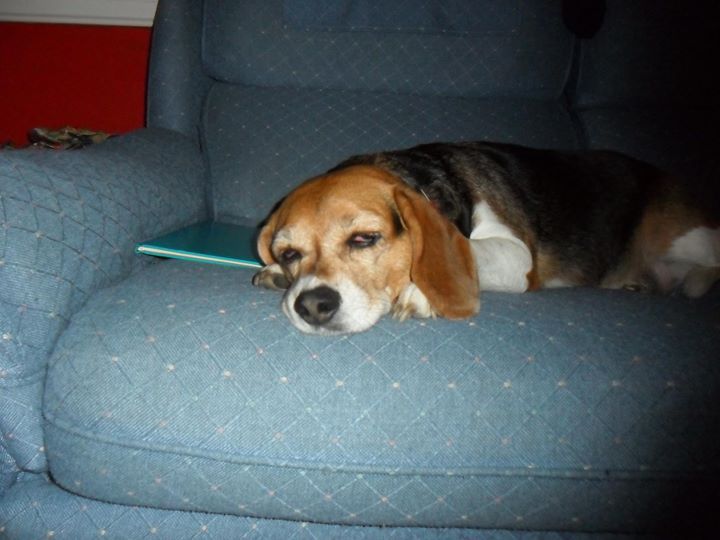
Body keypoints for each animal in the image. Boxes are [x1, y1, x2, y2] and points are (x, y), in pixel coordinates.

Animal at [253, 142, 720, 338]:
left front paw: (419, 291)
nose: (312, 305)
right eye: (289, 253)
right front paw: (274, 273)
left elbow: (470, 251)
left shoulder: (517, 258)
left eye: (365, 238)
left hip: (684, 234)